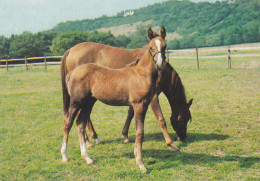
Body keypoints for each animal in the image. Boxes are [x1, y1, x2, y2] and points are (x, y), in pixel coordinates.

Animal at [60, 26, 191, 151]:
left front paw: (125, 135)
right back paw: (89, 141)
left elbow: (130, 113)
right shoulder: (153, 97)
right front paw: (171, 143)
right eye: (183, 118)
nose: (183, 137)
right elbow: (161, 119)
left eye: (165, 46)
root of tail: (70, 50)